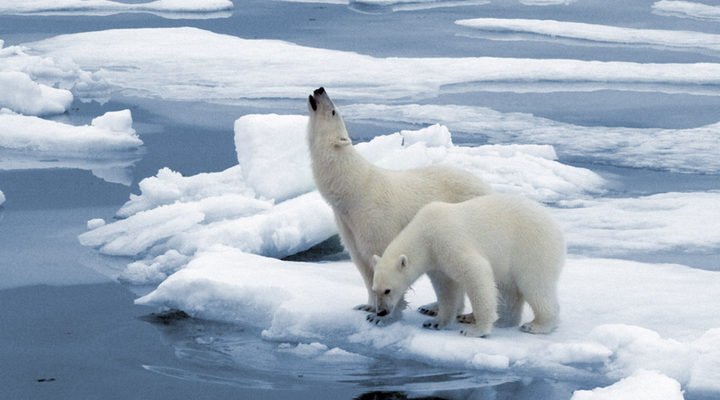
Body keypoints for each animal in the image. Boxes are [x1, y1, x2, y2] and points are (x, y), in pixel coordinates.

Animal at [307, 87, 492, 317]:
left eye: (333, 111)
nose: (320, 89)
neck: (353, 188)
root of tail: (488, 188)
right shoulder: (348, 225)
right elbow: (363, 264)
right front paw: (367, 305)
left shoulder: (374, 219)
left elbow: (385, 257)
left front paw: (390, 310)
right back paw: (433, 307)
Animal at [371, 193, 565, 337]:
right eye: (374, 290)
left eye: (387, 290)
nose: (381, 312)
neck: (424, 235)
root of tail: (555, 226)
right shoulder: (436, 260)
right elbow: (446, 288)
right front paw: (435, 322)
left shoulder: (447, 241)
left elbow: (476, 272)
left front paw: (476, 330)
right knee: (508, 289)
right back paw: (504, 320)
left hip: (531, 248)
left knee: (535, 284)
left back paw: (536, 325)